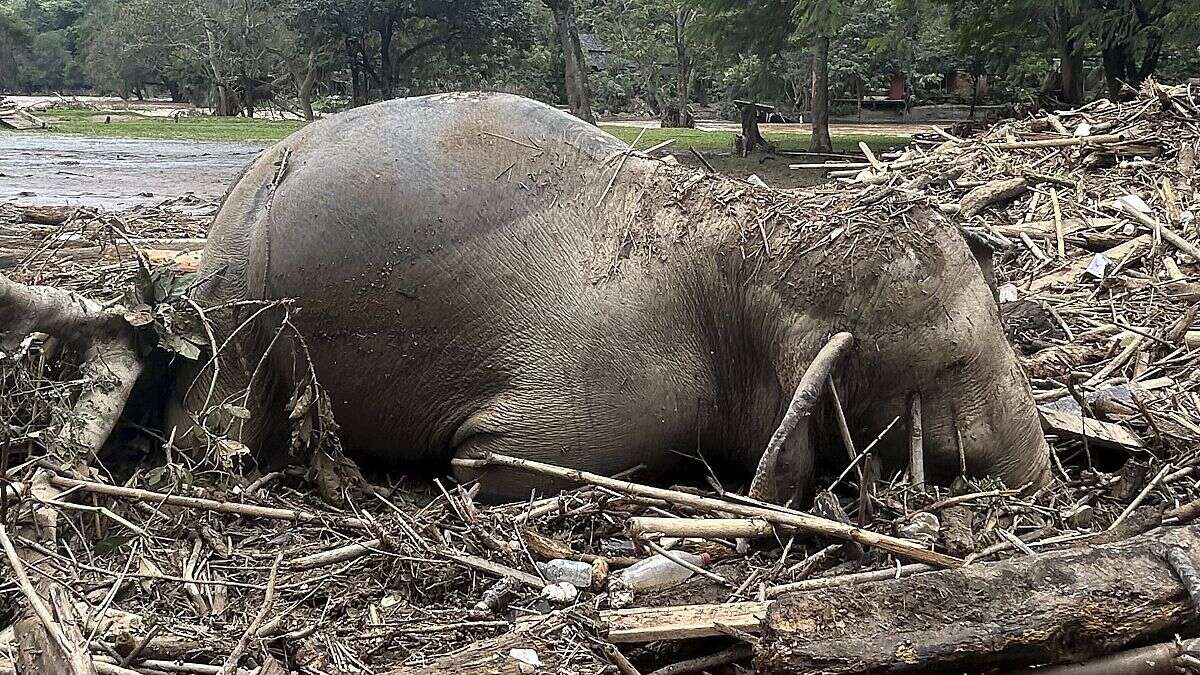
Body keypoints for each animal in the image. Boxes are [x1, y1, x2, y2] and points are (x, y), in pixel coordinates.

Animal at [154, 91, 1046, 499]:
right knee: (220, 422)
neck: (745, 246)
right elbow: (487, 457)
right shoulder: (619, 392)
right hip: (237, 312)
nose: (1047, 477)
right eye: (952, 361)